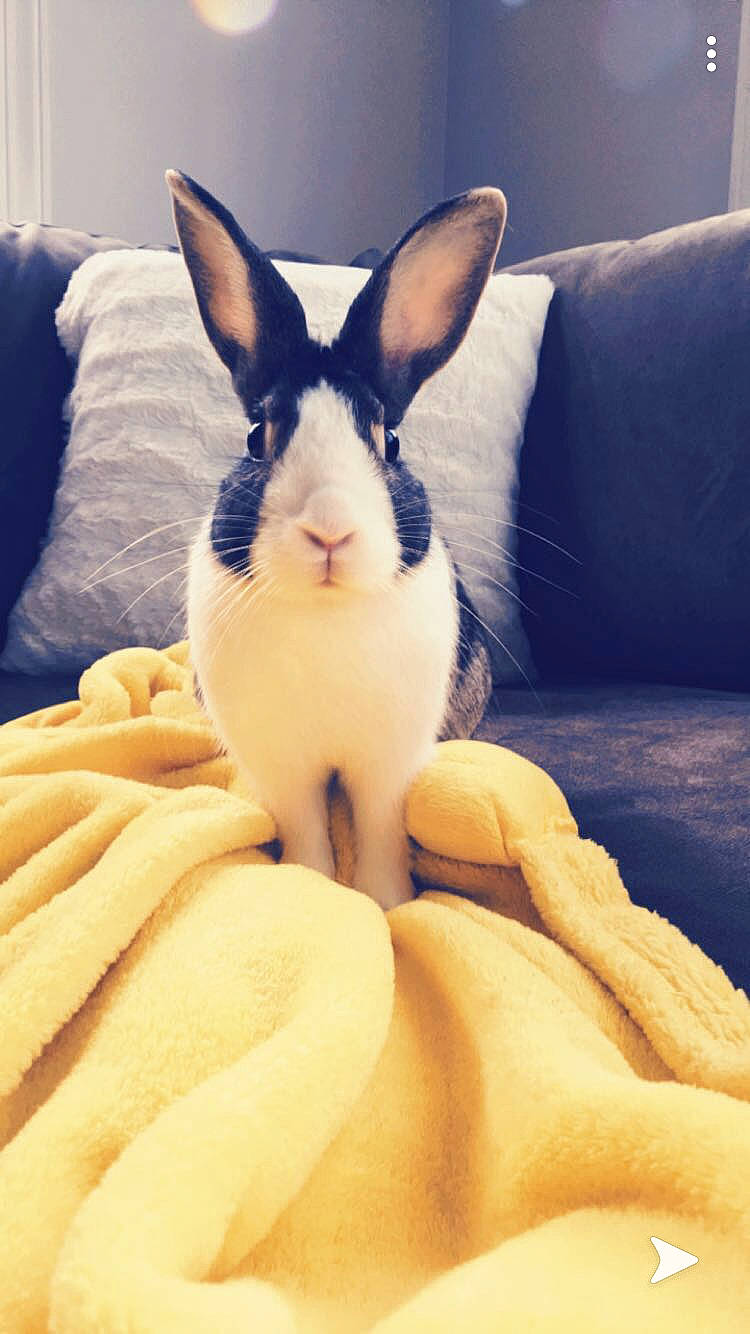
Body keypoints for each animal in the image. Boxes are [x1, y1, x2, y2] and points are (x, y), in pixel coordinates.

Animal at [165, 168, 506, 911]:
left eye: (390, 440)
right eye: (257, 437)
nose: (329, 529)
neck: (324, 611)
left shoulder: (389, 764)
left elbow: (380, 828)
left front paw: (389, 904)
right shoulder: (283, 766)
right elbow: (306, 828)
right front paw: (315, 886)